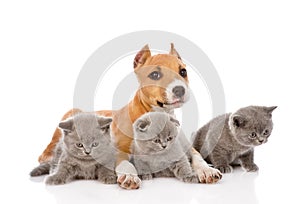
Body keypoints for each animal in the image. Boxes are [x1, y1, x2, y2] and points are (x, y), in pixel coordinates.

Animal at [37, 43, 221, 189]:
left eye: (183, 71)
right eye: (155, 75)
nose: (180, 89)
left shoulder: (185, 145)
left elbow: (197, 156)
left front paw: (207, 170)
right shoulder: (119, 149)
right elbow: (125, 164)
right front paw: (130, 176)